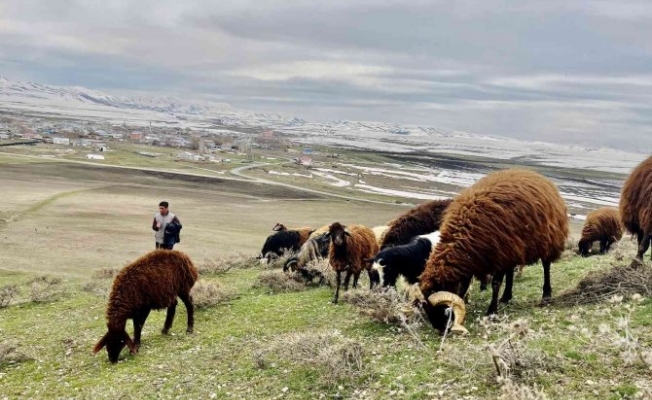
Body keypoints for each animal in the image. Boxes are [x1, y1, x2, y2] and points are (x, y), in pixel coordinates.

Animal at [420, 169, 568, 332]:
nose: (440, 328)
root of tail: (536, 175)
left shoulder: (499, 253)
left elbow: (496, 283)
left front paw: (492, 312)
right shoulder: (479, 258)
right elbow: (464, 286)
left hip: (548, 238)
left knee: (546, 265)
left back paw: (546, 293)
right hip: (514, 248)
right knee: (511, 271)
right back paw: (506, 296)